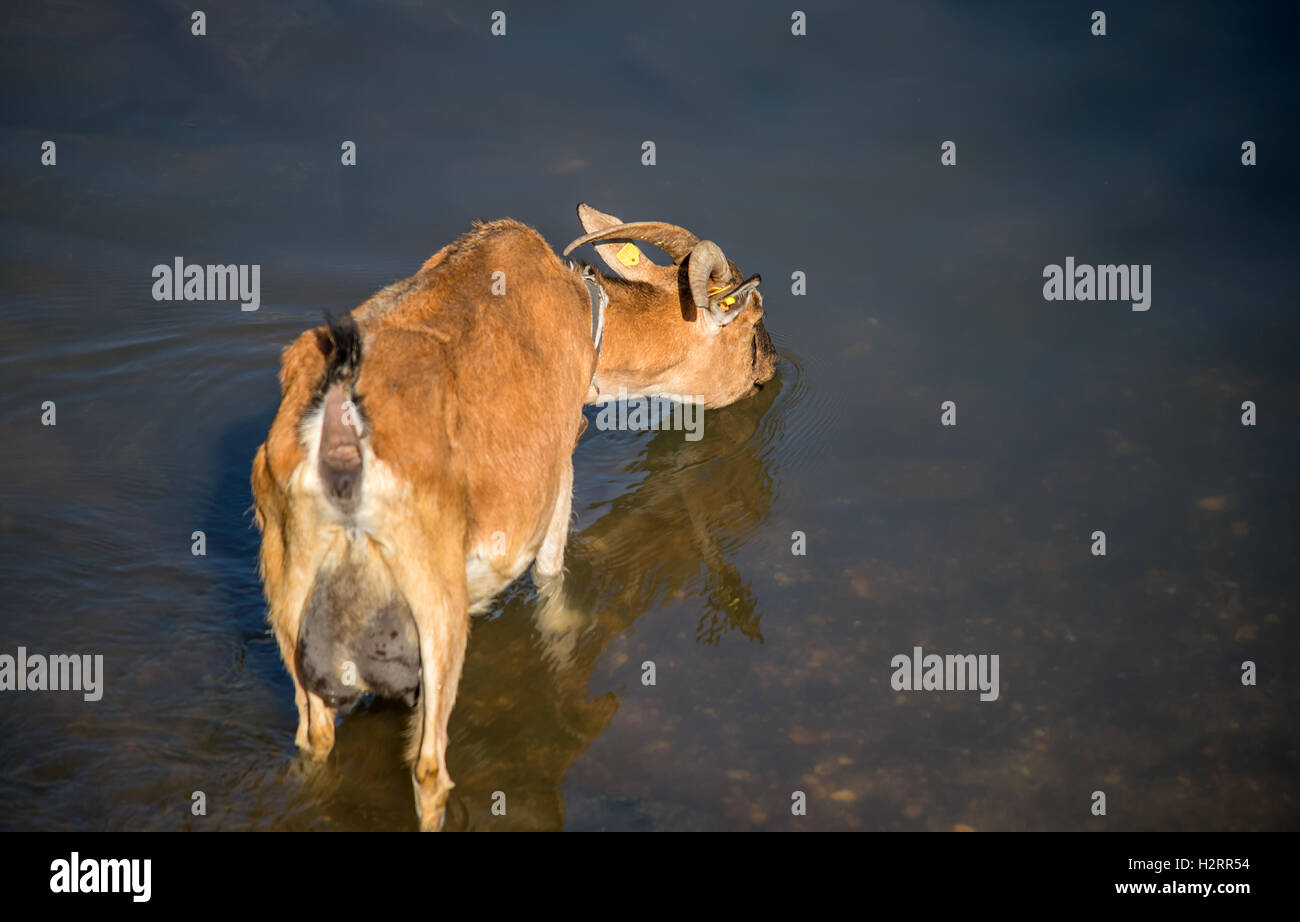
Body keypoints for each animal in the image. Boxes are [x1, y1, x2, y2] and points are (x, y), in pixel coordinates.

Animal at [249, 198, 774, 827]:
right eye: (750, 322)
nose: (769, 370)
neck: (588, 323)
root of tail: (332, 432)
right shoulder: (557, 473)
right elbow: (551, 583)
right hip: (435, 606)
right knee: (428, 768)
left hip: (290, 589)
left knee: (315, 736)